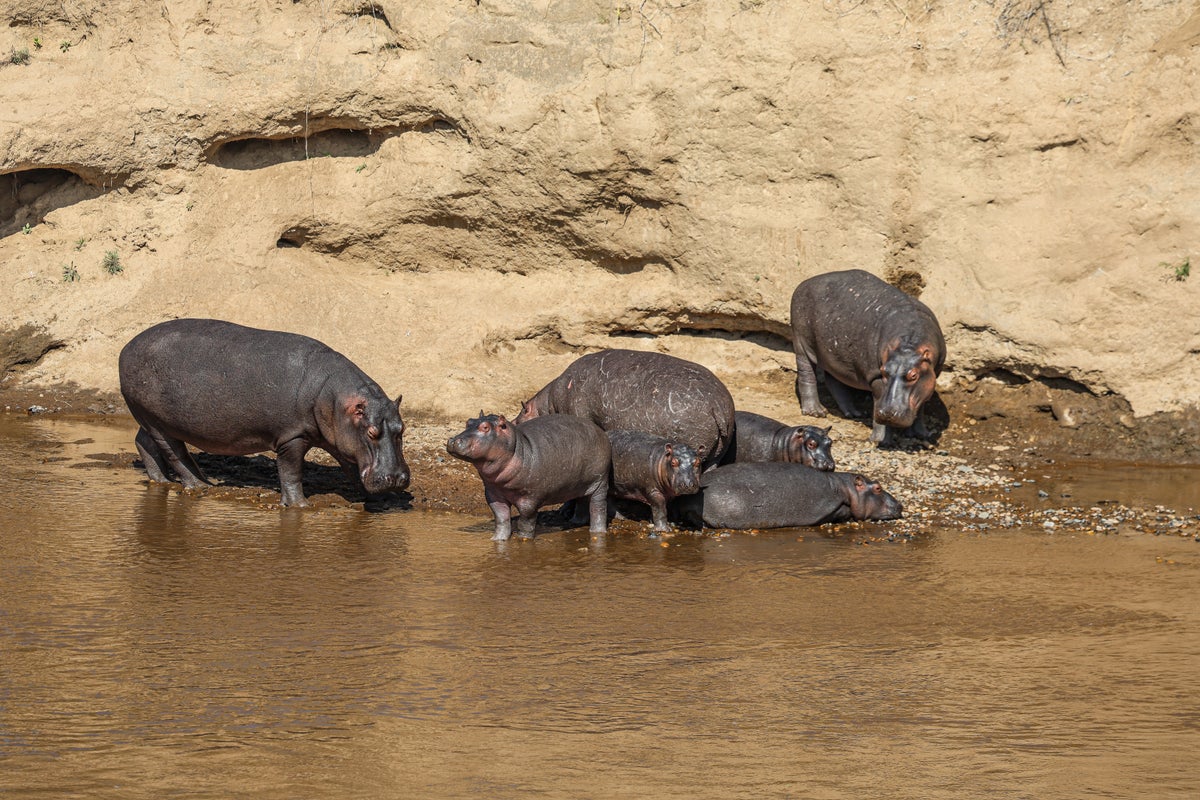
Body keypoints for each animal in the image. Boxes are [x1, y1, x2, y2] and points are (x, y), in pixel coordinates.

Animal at [118, 318, 410, 507]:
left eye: (402, 429)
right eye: (371, 432)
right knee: (175, 453)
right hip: (159, 423)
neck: (336, 399)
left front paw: (384, 499)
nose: (396, 478)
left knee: (144, 442)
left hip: (147, 417)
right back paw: (202, 485)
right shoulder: (292, 437)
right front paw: (299, 506)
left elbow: (352, 468)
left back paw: (162, 480)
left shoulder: (341, 439)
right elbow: (291, 472)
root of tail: (126, 347)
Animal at [446, 413, 610, 541]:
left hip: (600, 483)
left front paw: (523, 540)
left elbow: (525, 522)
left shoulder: (530, 498)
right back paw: (575, 522)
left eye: (485, 427)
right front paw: (497, 540)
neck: (516, 447)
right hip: (580, 485)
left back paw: (597, 532)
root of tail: (599, 430)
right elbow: (501, 519)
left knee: (598, 508)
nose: (453, 440)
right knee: (582, 501)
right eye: (468, 421)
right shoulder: (493, 494)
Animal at [790, 269, 946, 446]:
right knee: (806, 373)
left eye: (914, 375)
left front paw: (921, 434)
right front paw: (880, 440)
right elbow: (878, 399)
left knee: (835, 381)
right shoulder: (875, 376)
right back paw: (816, 412)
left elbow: (921, 406)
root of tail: (804, 283)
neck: (910, 342)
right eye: (883, 372)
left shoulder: (930, 377)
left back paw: (854, 413)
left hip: (834, 356)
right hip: (801, 341)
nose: (887, 413)